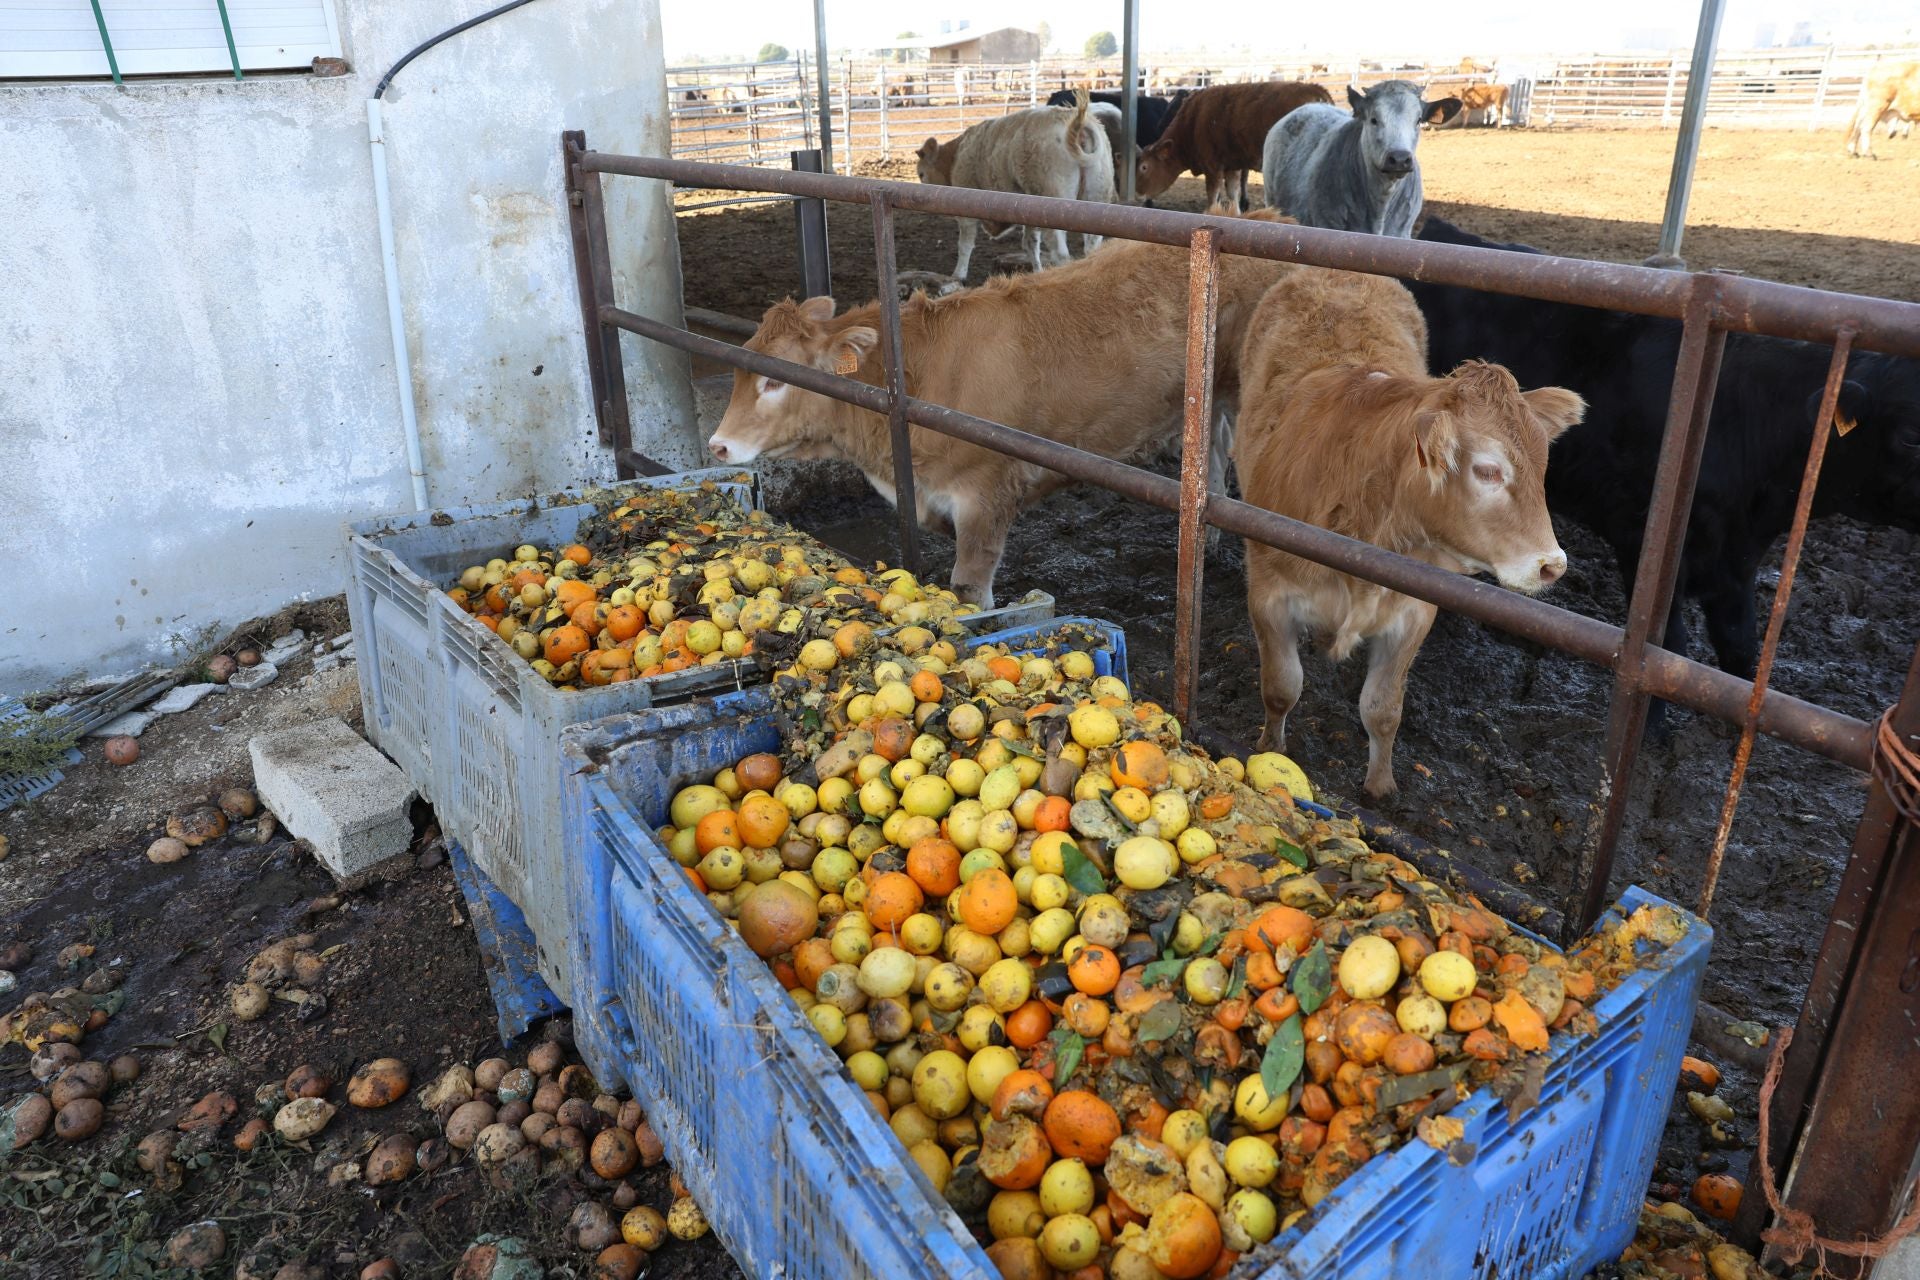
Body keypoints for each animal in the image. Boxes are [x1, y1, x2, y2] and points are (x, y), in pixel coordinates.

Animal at [1236, 266, 1582, 794]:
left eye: (1542, 465)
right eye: (1487, 470)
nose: (1552, 566)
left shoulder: (1413, 611)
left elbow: (1382, 710)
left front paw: (1381, 789)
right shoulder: (1268, 593)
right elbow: (1281, 687)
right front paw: (1269, 748)